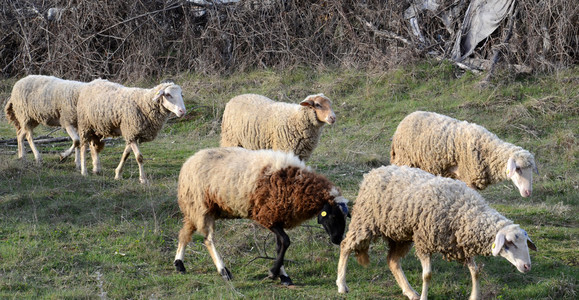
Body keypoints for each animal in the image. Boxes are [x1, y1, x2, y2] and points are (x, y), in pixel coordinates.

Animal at [174, 148, 352, 286]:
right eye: (333, 216)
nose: (337, 239)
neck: (297, 184)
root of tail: (189, 161)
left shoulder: (277, 217)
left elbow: (280, 246)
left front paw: (283, 276)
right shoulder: (267, 216)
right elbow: (286, 241)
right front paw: (273, 272)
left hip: (195, 207)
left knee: (185, 233)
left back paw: (179, 264)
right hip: (201, 206)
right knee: (208, 239)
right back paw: (224, 271)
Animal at [336, 165, 540, 298]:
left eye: (525, 243)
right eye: (509, 243)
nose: (527, 266)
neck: (465, 210)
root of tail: (374, 172)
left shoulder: (459, 245)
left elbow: (475, 272)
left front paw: (474, 295)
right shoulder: (424, 241)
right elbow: (427, 275)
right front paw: (425, 296)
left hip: (400, 234)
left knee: (393, 261)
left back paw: (410, 292)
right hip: (365, 221)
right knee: (345, 246)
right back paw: (341, 285)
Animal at [390, 110, 540, 197]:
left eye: (531, 170)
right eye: (518, 169)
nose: (528, 192)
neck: (487, 149)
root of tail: (408, 116)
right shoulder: (468, 178)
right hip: (405, 159)